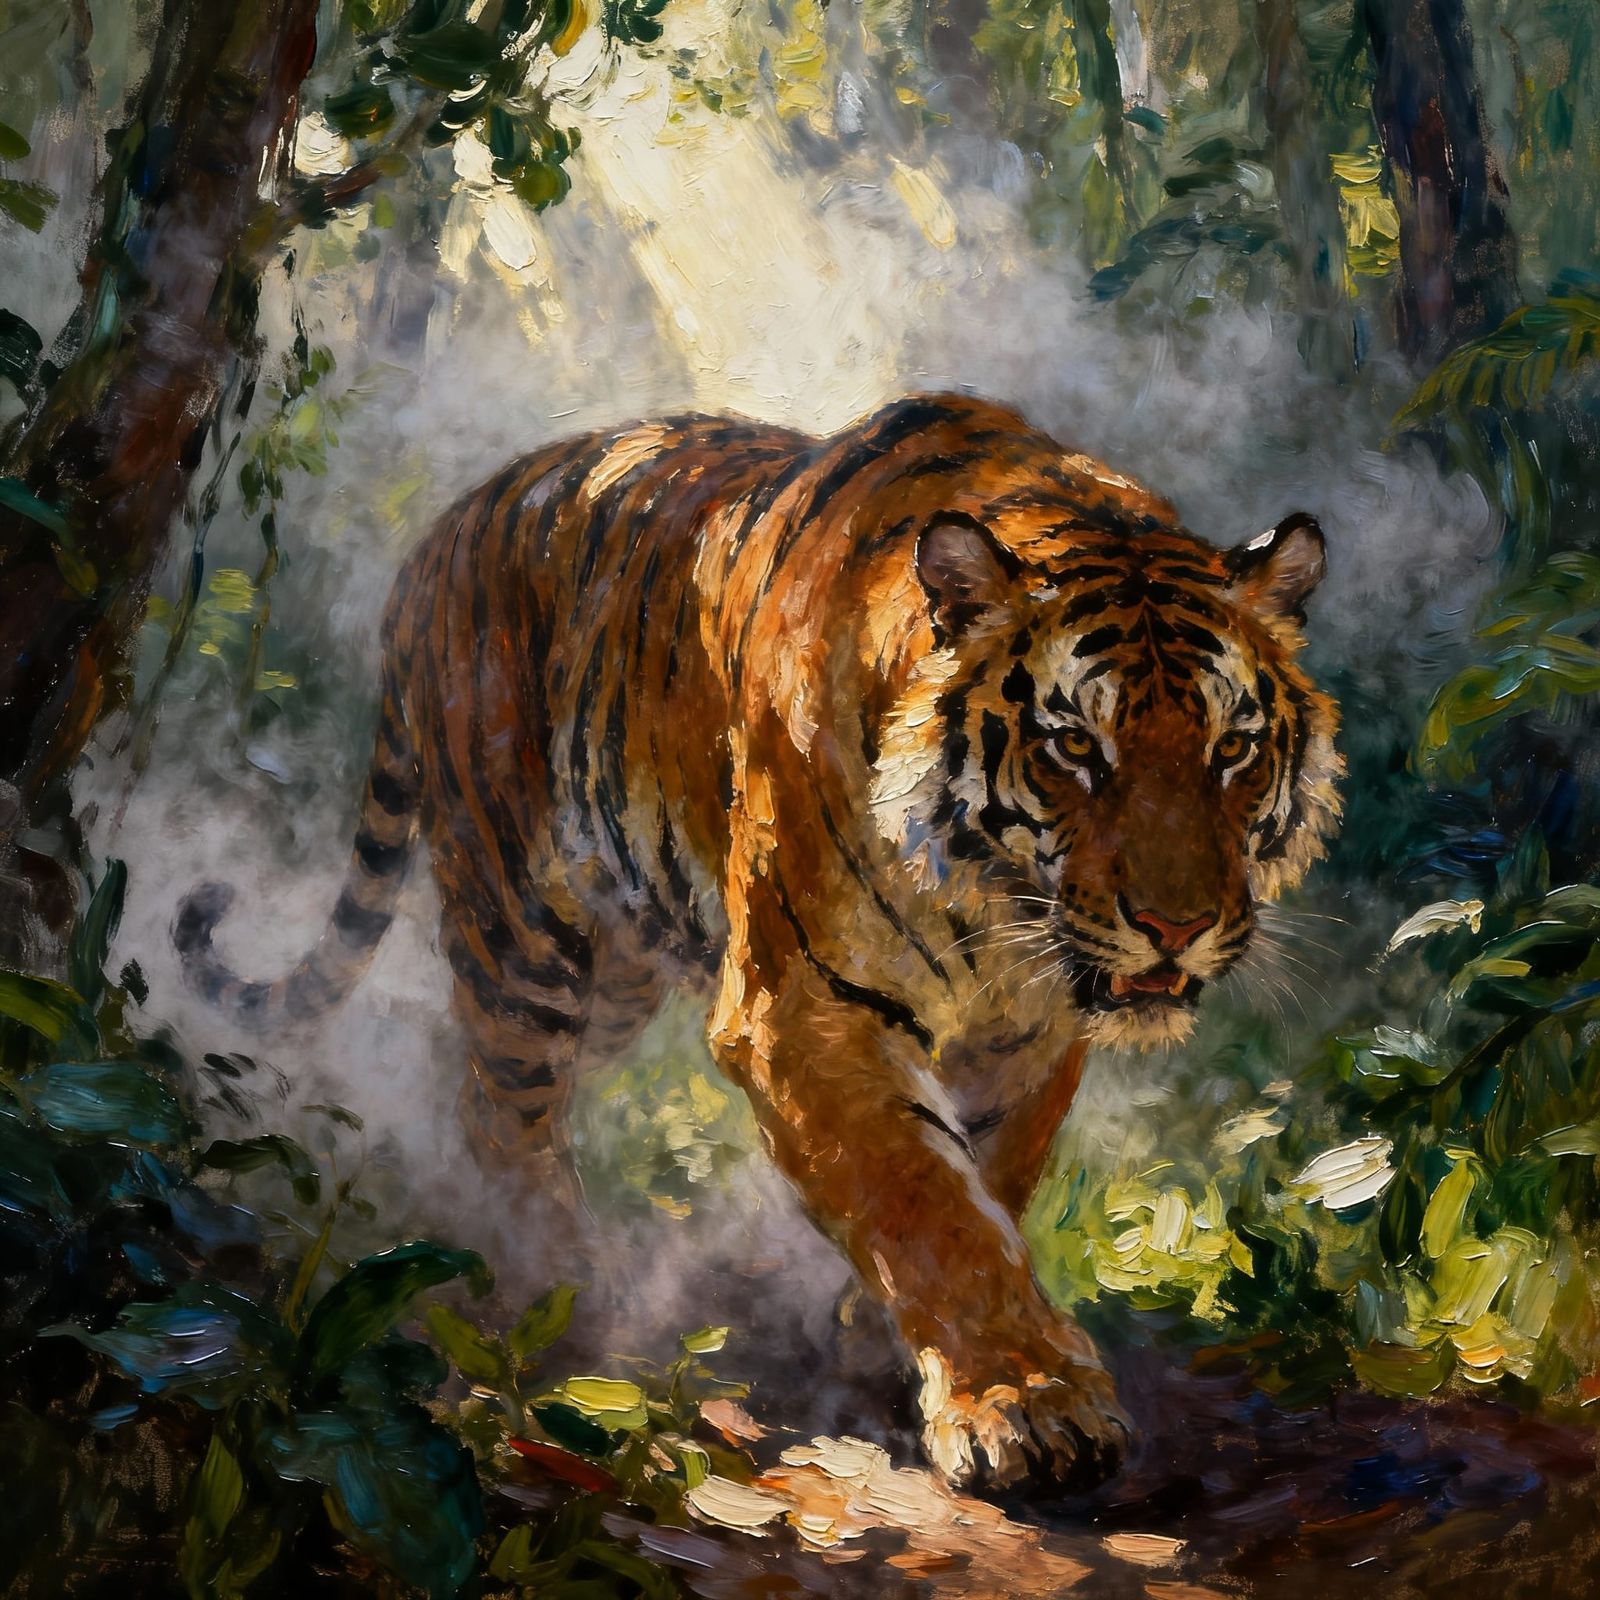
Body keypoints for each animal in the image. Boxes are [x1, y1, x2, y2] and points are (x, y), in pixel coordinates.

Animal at [176, 392, 1342, 1494]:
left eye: (1232, 748)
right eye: (1073, 746)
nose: (1175, 927)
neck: (995, 904)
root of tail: (443, 531)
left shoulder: (1031, 1035)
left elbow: (989, 1180)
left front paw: (885, 1347)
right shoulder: (802, 1010)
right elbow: (925, 1201)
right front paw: (1026, 1405)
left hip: (617, 970)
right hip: (521, 925)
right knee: (504, 1109)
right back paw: (556, 1291)